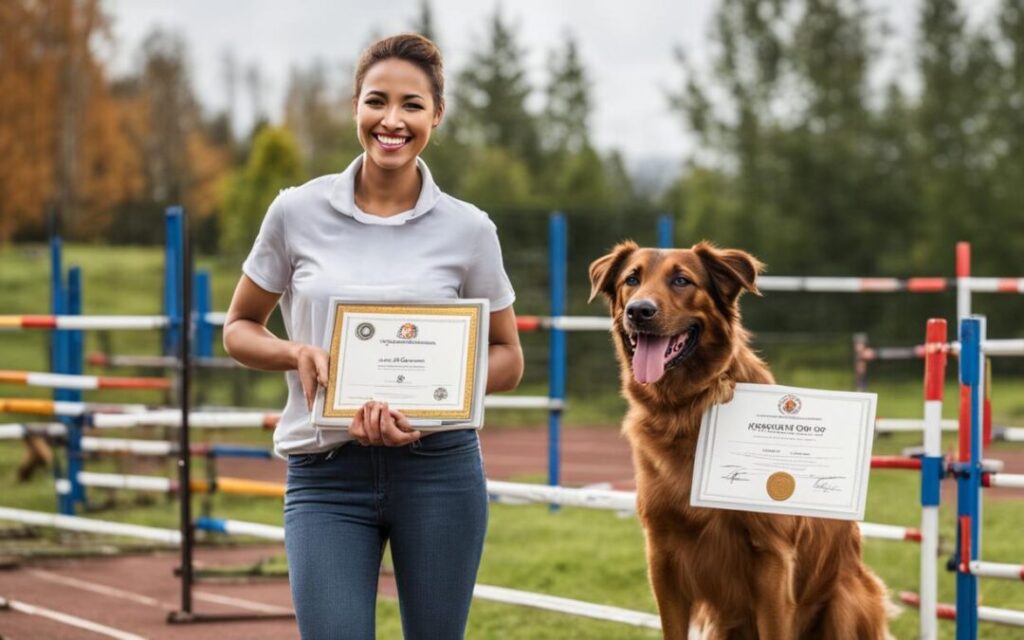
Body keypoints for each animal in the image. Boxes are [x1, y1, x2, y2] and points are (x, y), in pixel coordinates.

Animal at [589, 240, 892, 638]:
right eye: (632, 279)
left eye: (681, 280)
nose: (639, 310)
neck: (685, 411)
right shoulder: (663, 558)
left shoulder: (772, 561)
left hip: (846, 602)